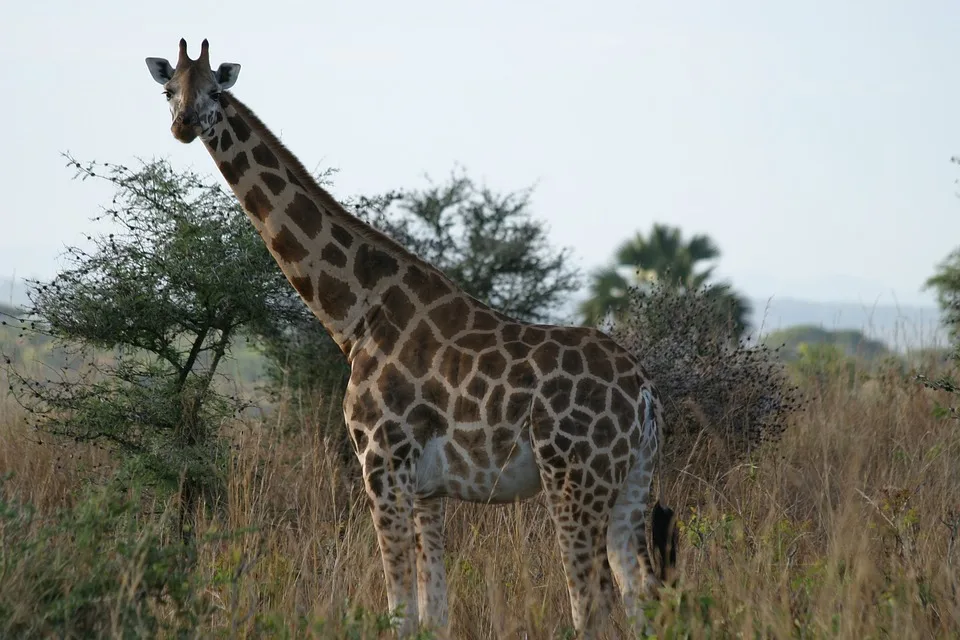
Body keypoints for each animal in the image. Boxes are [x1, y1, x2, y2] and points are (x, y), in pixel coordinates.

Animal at [146, 38, 680, 636]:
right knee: (643, 596)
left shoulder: (381, 460)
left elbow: (398, 610)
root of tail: (645, 394)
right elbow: (434, 612)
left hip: (575, 479)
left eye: (216, 91)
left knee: (593, 604)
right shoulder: (427, 487)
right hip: (633, 482)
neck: (356, 315)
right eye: (169, 91)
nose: (184, 125)